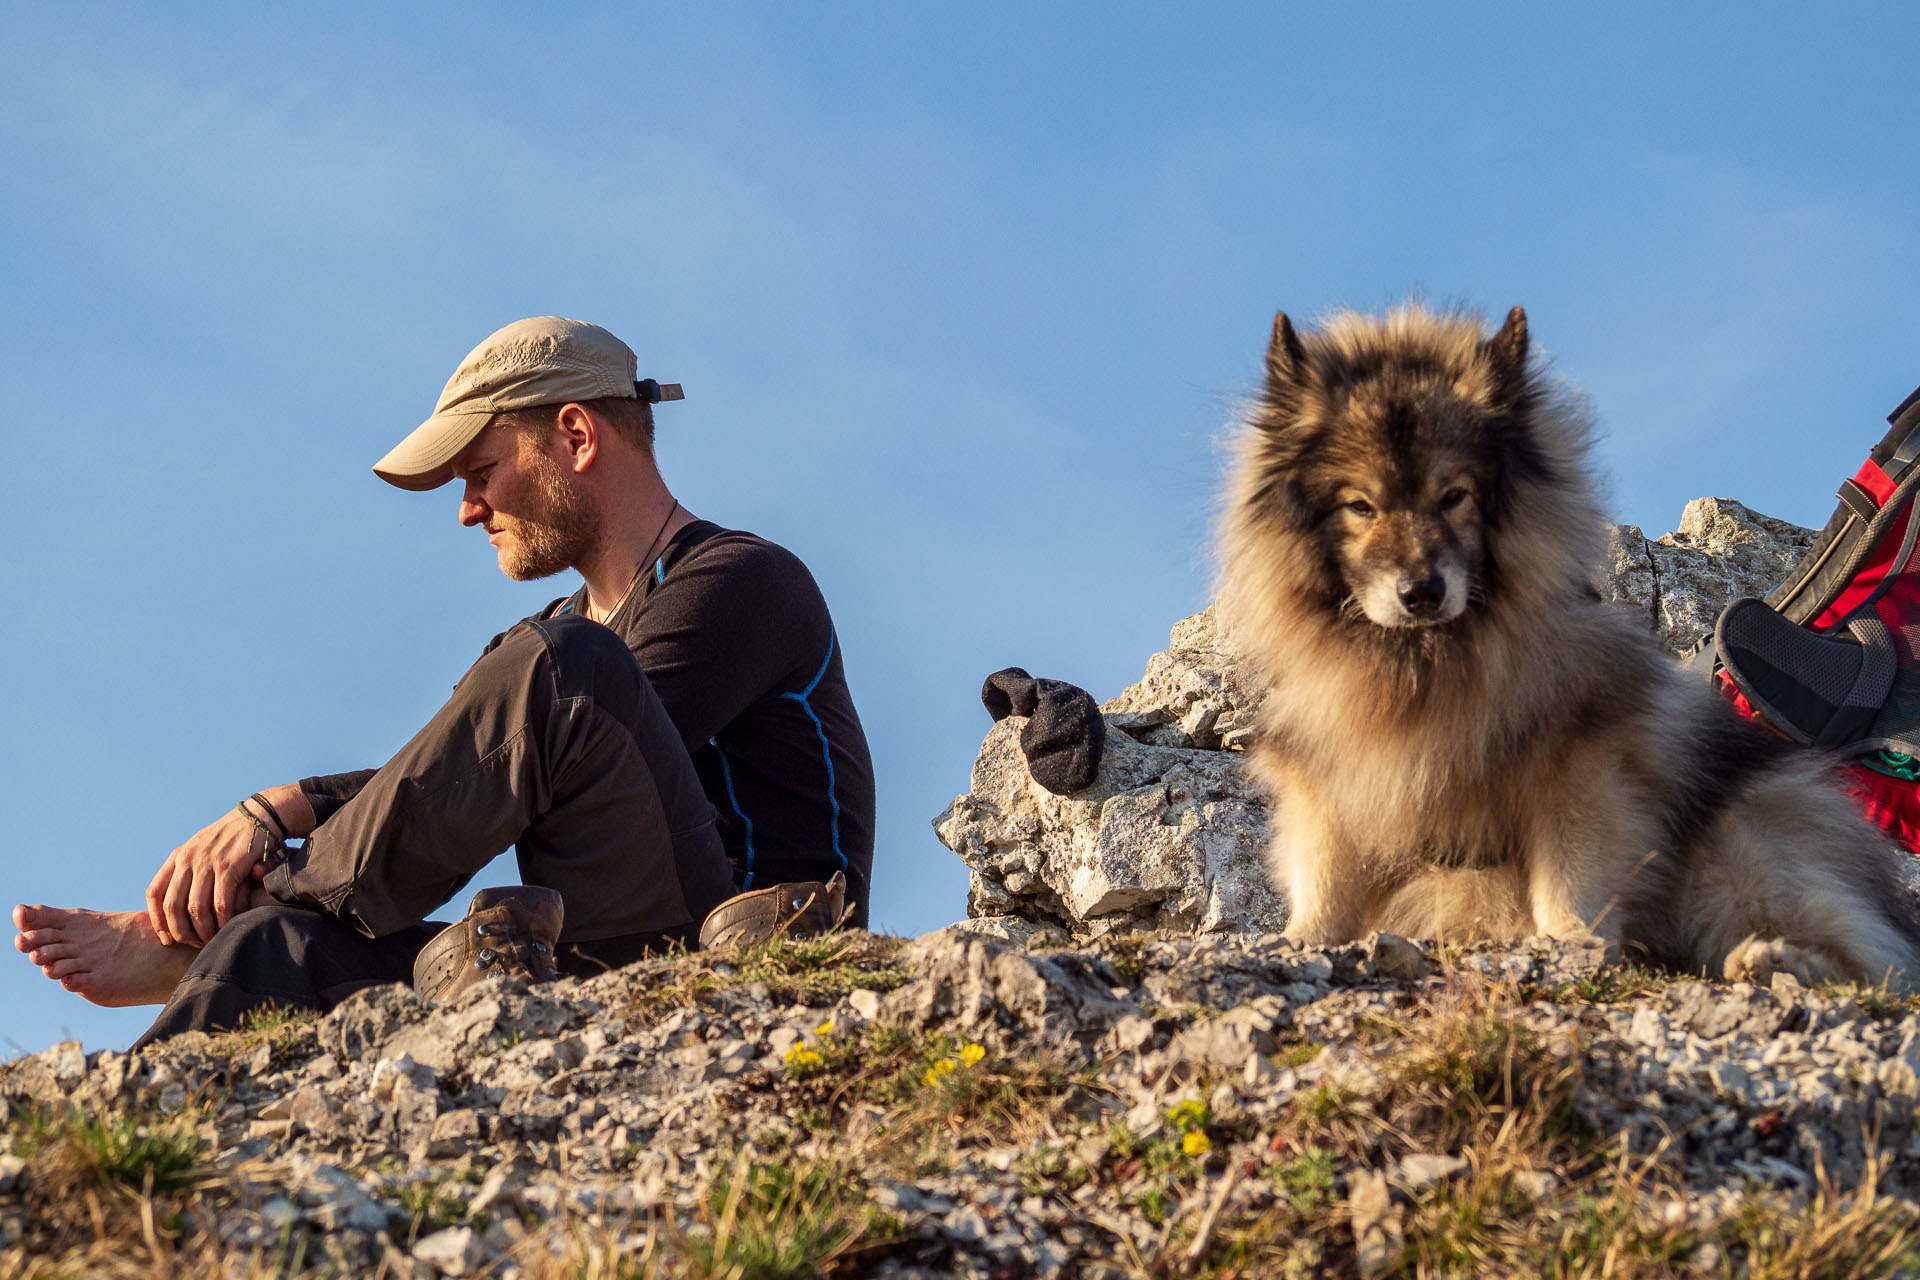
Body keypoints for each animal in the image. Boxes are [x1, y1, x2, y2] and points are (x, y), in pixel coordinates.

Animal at [1221, 303, 1920, 990]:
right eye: (1360, 506)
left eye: (1455, 496)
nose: (1421, 592)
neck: (1427, 662)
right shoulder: (1330, 772)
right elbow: (1327, 871)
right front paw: (1299, 939)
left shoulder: (1581, 761)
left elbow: (1570, 872)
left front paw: (1569, 943)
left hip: (1739, 849)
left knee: (1879, 964)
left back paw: (1775, 961)